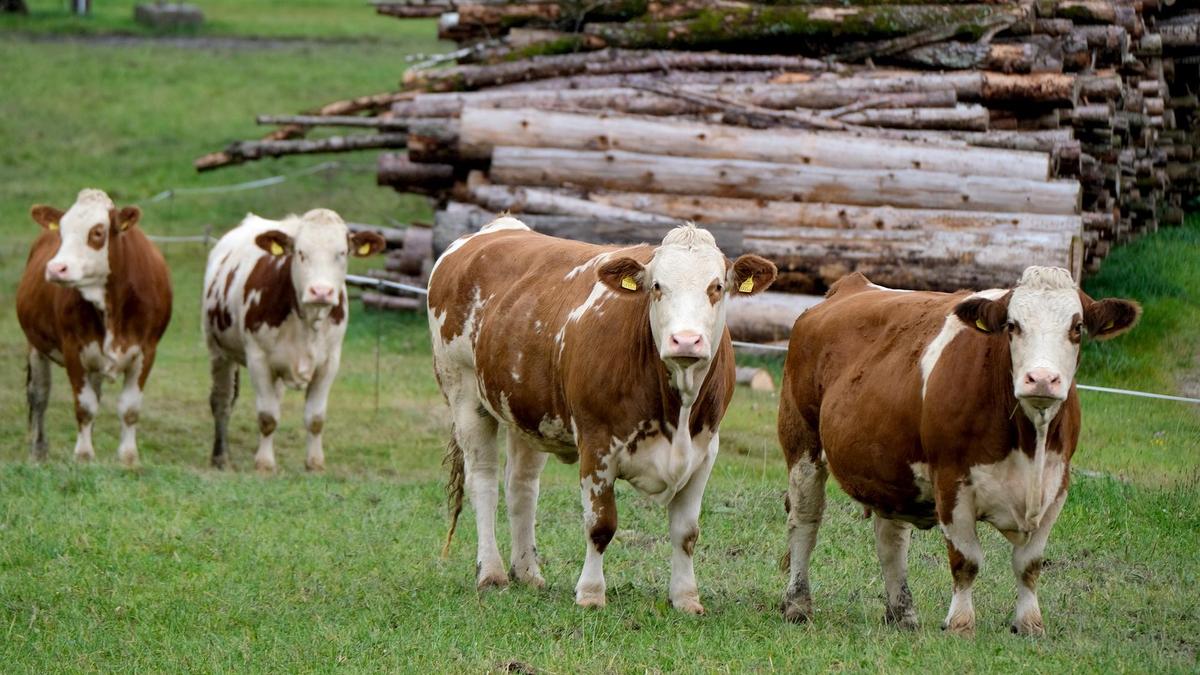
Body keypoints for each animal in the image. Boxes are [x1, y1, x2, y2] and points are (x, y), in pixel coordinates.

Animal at [17, 186, 174, 466]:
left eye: (98, 232)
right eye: (61, 231)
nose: (56, 268)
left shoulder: (146, 351)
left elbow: (130, 407)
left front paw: (128, 457)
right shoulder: (73, 349)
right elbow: (85, 406)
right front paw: (83, 454)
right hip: (36, 346)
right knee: (39, 395)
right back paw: (38, 450)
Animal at [202, 207, 384, 470]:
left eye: (341, 252)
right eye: (300, 253)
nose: (321, 291)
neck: (307, 320)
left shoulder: (329, 362)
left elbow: (315, 418)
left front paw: (315, 463)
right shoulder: (258, 359)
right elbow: (267, 416)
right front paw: (265, 463)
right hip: (218, 350)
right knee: (222, 400)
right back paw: (220, 456)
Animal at [429, 219, 777, 610]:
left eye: (716, 286)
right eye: (657, 286)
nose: (685, 341)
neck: (678, 412)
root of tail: (497, 227)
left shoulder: (705, 451)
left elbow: (686, 532)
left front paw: (686, 598)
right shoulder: (597, 445)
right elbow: (600, 525)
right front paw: (591, 593)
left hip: (526, 412)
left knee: (521, 486)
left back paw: (528, 572)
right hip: (464, 394)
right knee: (484, 482)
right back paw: (491, 573)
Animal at [777, 265, 1142, 634]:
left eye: (1077, 327)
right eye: (1012, 325)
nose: (1041, 379)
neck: (1029, 445)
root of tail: (851, 285)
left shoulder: (1057, 487)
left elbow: (1029, 564)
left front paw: (1029, 623)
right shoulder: (951, 482)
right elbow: (966, 560)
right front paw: (961, 624)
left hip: (891, 465)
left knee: (891, 538)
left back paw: (902, 613)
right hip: (802, 442)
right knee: (805, 519)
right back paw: (797, 604)